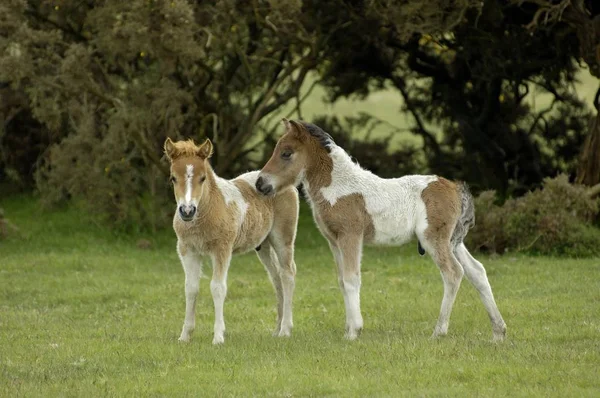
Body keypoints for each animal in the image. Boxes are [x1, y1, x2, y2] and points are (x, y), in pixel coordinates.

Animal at [164, 138, 298, 344]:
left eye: (202, 178)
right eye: (173, 178)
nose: (187, 211)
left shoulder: (222, 249)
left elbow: (218, 288)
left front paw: (218, 337)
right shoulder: (187, 250)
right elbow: (191, 288)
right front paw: (185, 336)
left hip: (283, 238)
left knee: (287, 274)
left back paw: (285, 330)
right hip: (264, 245)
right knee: (276, 278)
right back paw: (276, 330)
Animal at [255, 119, 508, 340]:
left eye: (286, 153)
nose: (260, 184)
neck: (339, 187)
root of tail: (455, 188)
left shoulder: (351, 236)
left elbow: (351, 278)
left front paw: (354, 332)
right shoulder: (334, 241)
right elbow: (342, 281)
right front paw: (348, 328)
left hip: (433, 240)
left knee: (453, 273)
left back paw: (439, 332)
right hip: (453, 241)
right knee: (477, 271)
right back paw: (498, 332)